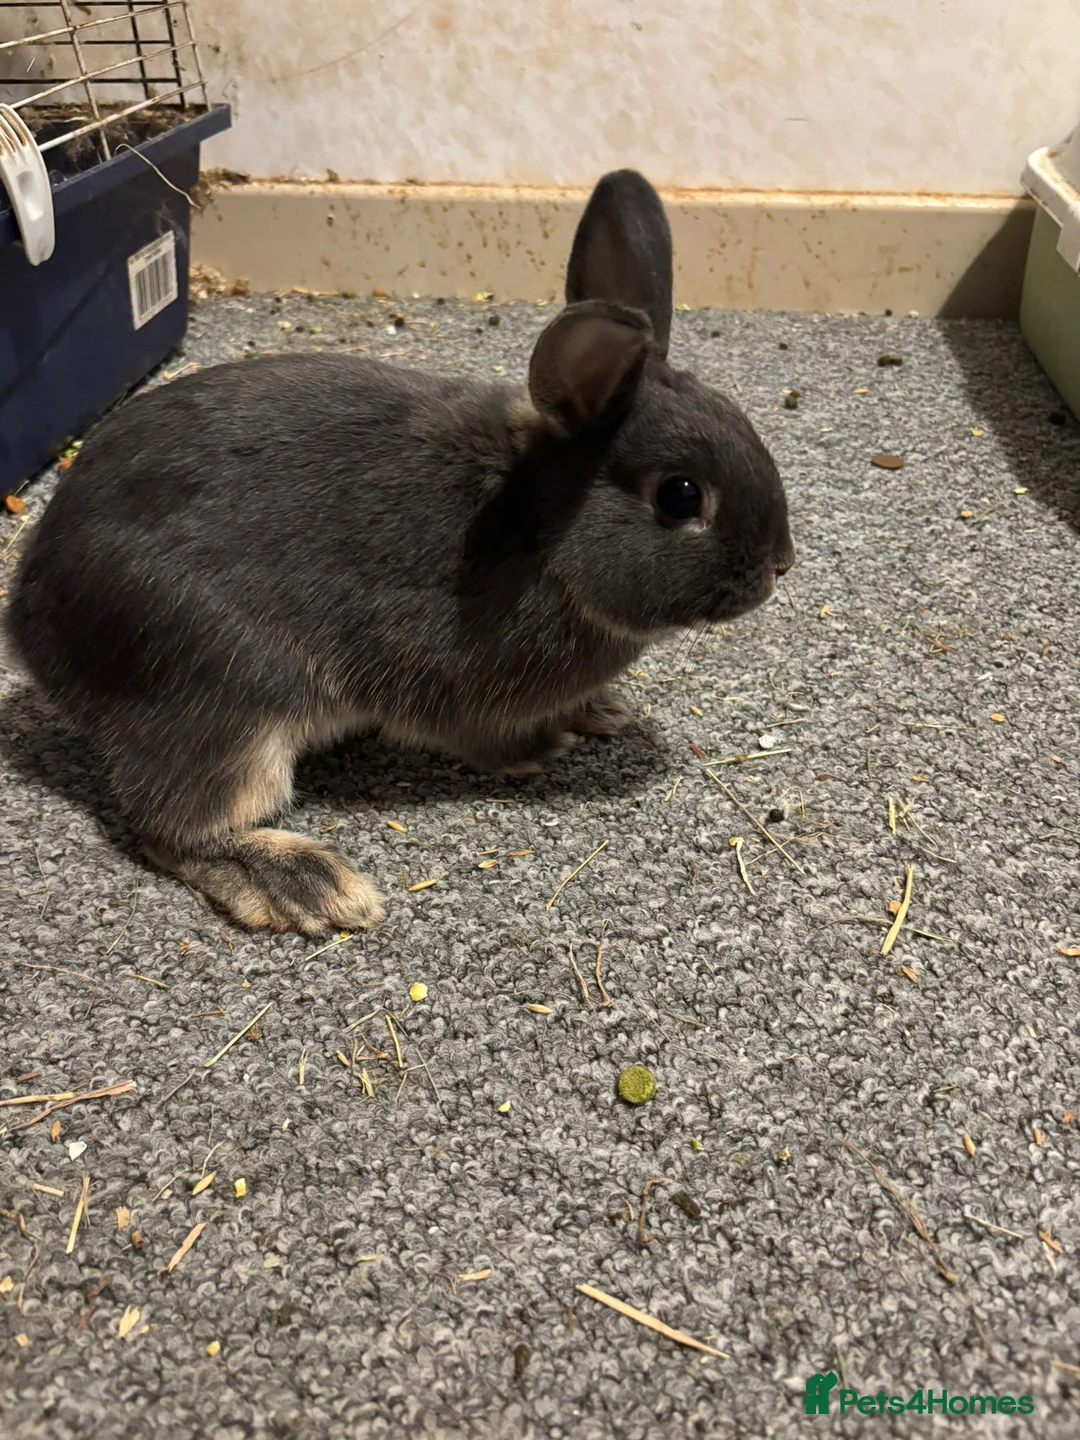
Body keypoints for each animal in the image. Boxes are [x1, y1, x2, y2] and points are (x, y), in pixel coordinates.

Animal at [5, 169, 795, 937]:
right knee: (175, 826)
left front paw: (599, 713)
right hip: (225, 693)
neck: (537, 526)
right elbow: (482, 738)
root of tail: (34, 629)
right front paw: (540, 750)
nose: (778, 565)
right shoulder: (458, 688)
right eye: (682, 496)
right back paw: (308, 884)